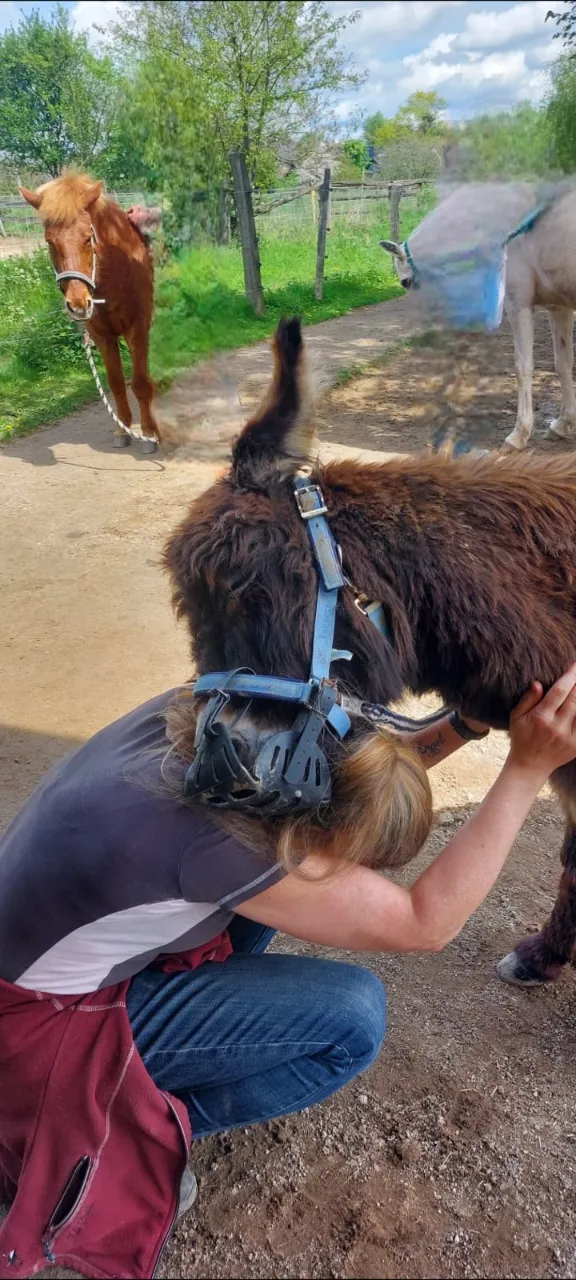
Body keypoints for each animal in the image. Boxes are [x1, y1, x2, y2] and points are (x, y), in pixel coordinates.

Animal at [19, 172, 160, 450]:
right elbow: (116, 383)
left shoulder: (137, 328)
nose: (78, 303)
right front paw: (122, 430)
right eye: (50, 242)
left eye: (87, 237)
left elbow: (139, 382)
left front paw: (149, 434)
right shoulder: (101, 335)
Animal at [379, 181, 576, 453]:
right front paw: (562, 424)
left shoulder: (517, 304)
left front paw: (518, 436)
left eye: (405, 282)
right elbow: (563, 363)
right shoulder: (559, 307)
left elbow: (523, 367)